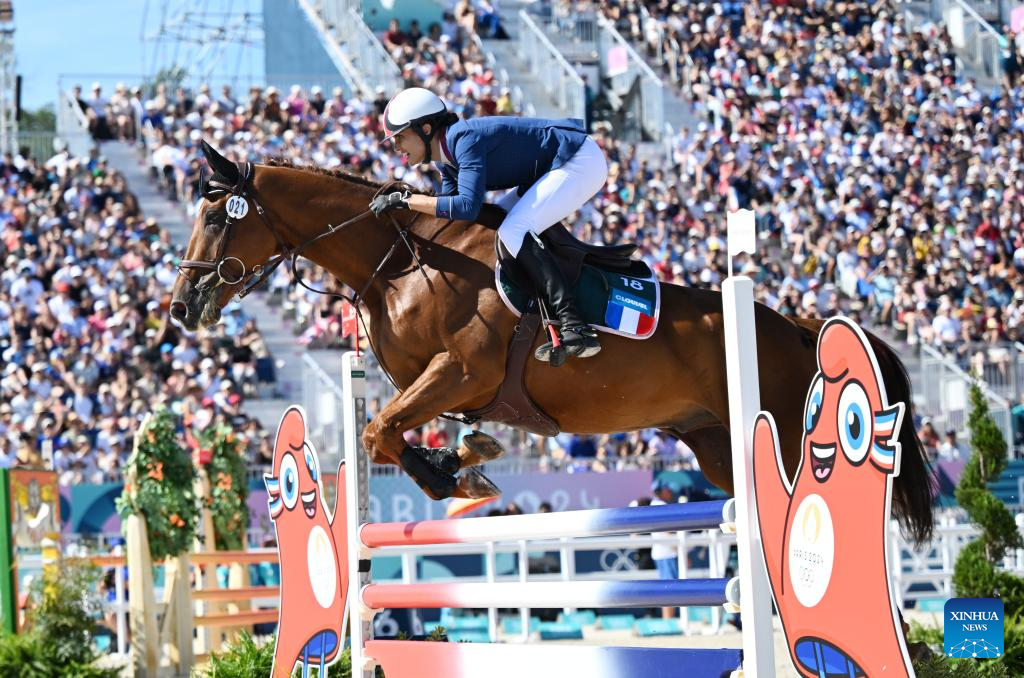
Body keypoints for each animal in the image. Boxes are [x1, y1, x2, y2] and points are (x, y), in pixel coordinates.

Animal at [172, 144, 933, 548]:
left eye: (216, 215)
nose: (181, 308)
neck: (398, 263)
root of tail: (797, 327)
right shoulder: (431, 383)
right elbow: (387, 433)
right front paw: (466, 462)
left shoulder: (461, 370)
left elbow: (379, 430)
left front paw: (457, 476)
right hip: (714, 446)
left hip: (782, 430)